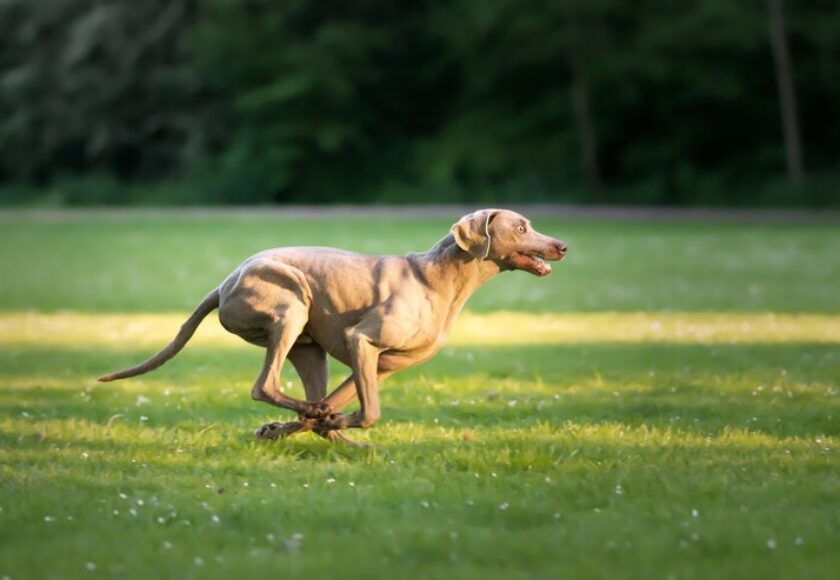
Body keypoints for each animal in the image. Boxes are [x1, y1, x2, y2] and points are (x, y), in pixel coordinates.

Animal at [101, 208, 568, 444]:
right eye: (521, 226)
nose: (562, 245)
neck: (440, 278)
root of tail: (224, 284)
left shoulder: (381, 363)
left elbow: (345, 404)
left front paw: (309, 425)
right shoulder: (362, 340)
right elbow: (370, 412)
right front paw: (330, 422)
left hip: (309, 348)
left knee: (309, 397)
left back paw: (315, 427)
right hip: (291, 307)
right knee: (265, 386)